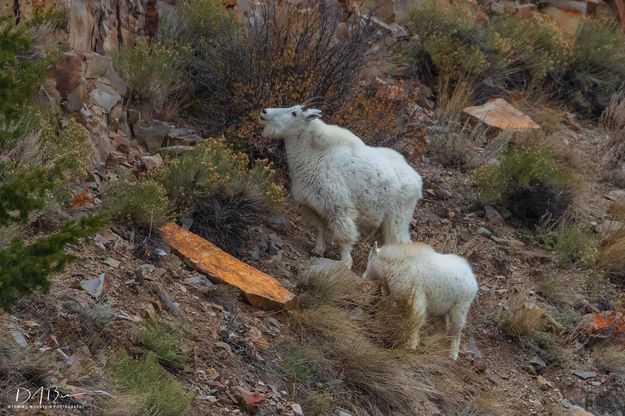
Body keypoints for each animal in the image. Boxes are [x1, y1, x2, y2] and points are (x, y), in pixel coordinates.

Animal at [258, 98, 424, 264]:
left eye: (294, 113)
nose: (264, 111)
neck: (313, 156)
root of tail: (417, 179)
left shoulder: (339, 208)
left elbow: (344, 238)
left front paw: (345, 262)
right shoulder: (313, 206)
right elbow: (320, 229)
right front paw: (318, 251)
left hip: (398, 219)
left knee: (401, 243)